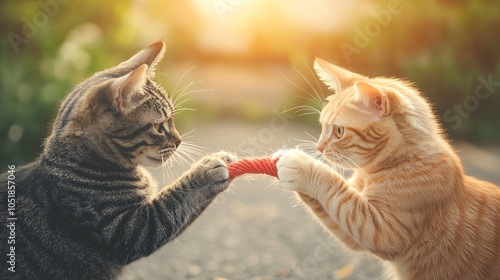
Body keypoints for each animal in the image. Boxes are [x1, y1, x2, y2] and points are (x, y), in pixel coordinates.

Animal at [276, 58, 498, 278]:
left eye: (339, 131)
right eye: (322, 126)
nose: (319, 147)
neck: (371, 174)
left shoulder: (382, 230)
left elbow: (334, 186)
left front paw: (301, 165)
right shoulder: (351, 227)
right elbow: (334, 199)